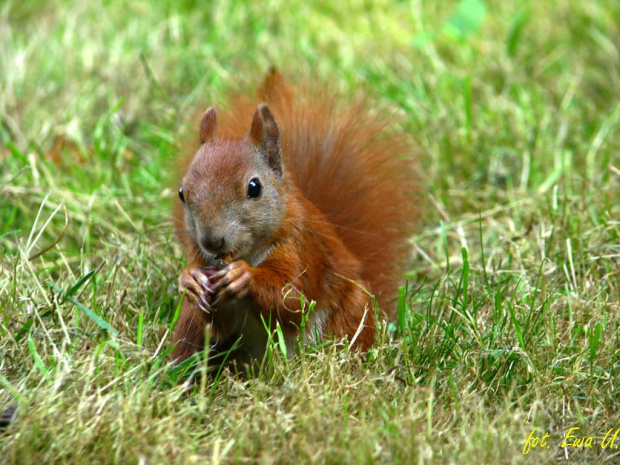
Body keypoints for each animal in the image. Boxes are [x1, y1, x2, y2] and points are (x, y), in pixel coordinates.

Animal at [172, 70, 418, 366]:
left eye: (254, 187)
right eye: (182, 193)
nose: (212, 241)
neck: (247, 253)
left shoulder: (301, 249)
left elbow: (294, 302)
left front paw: (244, 277)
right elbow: (218, 325)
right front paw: (189, 280)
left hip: (352, 312)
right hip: (191, 329)